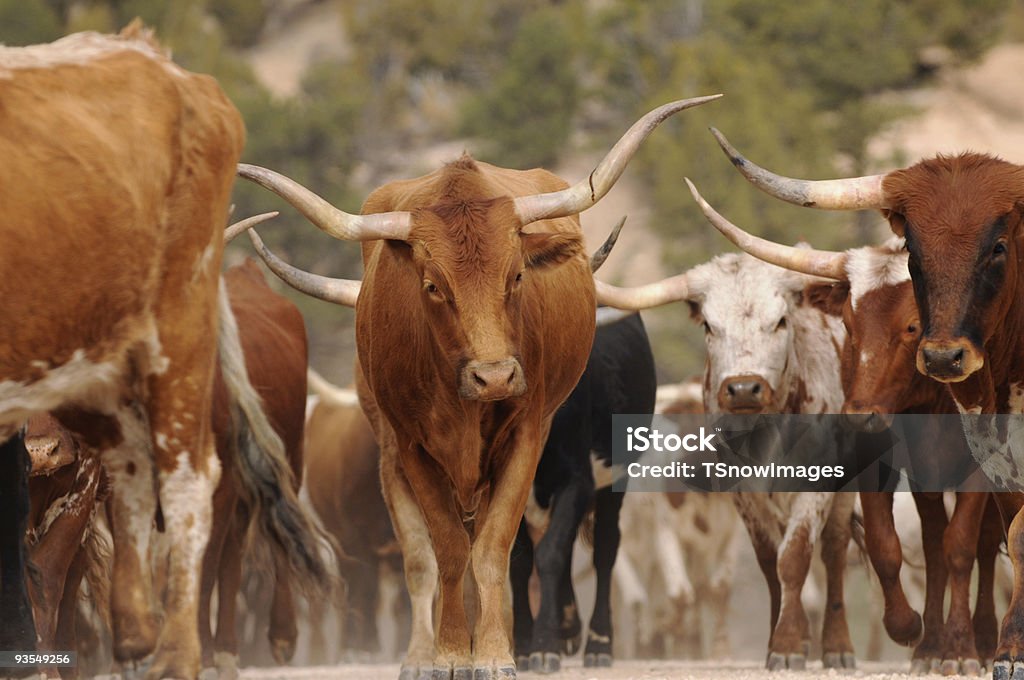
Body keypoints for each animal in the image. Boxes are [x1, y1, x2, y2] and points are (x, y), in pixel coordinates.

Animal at [509, 311, 655, 671]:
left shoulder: (577, 481)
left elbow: (550, 554)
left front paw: (543, 646)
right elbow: (520, 563)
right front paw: (523, 646)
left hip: (614, 482)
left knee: (604, 549)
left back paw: (598, 643)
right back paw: (568, 625)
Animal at [696, 130, 1024, 675]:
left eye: (910, 326)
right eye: (849, 323)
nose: (860, 413)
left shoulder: (981, 465)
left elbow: (962, 546)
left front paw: (960, 648)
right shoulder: (876, 456)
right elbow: (888, 546)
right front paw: (911, 629)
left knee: (972, 547)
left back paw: (975, 638)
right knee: (932, 541)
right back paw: (930, 646)